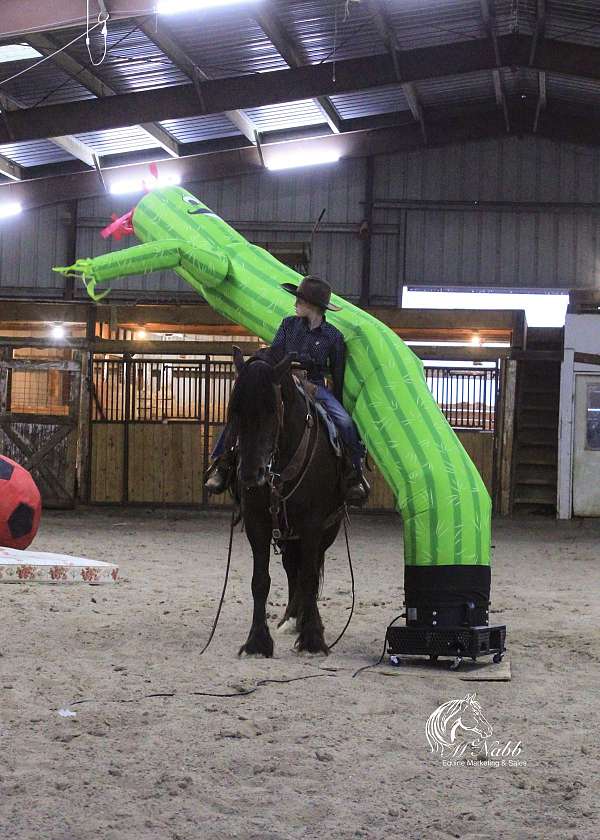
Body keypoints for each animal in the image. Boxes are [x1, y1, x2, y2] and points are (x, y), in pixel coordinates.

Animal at [227, 346, 344, 656]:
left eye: (272, 409)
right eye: (235, 409)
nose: (250, 474)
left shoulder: (314, 524)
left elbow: (310, 577)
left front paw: (313, 638)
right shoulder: (257, 522)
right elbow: (260, 580)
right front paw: (257, 641)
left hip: (326, 529)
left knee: (308, 570)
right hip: (288, 534)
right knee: (293, 568)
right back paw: (292, 618)